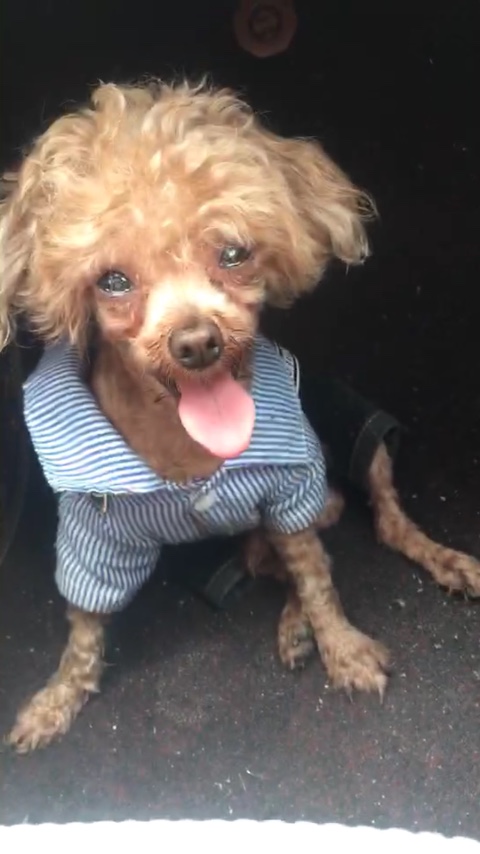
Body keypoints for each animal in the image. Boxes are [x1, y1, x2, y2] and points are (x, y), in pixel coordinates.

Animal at [1, 80, 479, 753]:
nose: (198, 342)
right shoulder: (93, 539)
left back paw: (439, 563)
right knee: (278, 561)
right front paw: (56, 700)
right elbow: (86, 625)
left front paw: (343, 648)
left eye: (234, 253)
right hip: (260, 535)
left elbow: (320, 579)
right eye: (112, 281)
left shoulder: (291, 489)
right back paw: (293, 627)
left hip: (357, 437)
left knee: (381, 520)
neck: (189, 450)